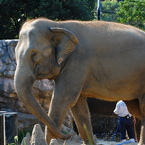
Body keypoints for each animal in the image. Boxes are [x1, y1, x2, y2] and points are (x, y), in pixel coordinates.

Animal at [13, 17, 145, 144]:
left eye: (34, 55)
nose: (68, 135)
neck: (58, 25)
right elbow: (78, 106)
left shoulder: (77, 62)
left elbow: (62, 100)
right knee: (136, 109)